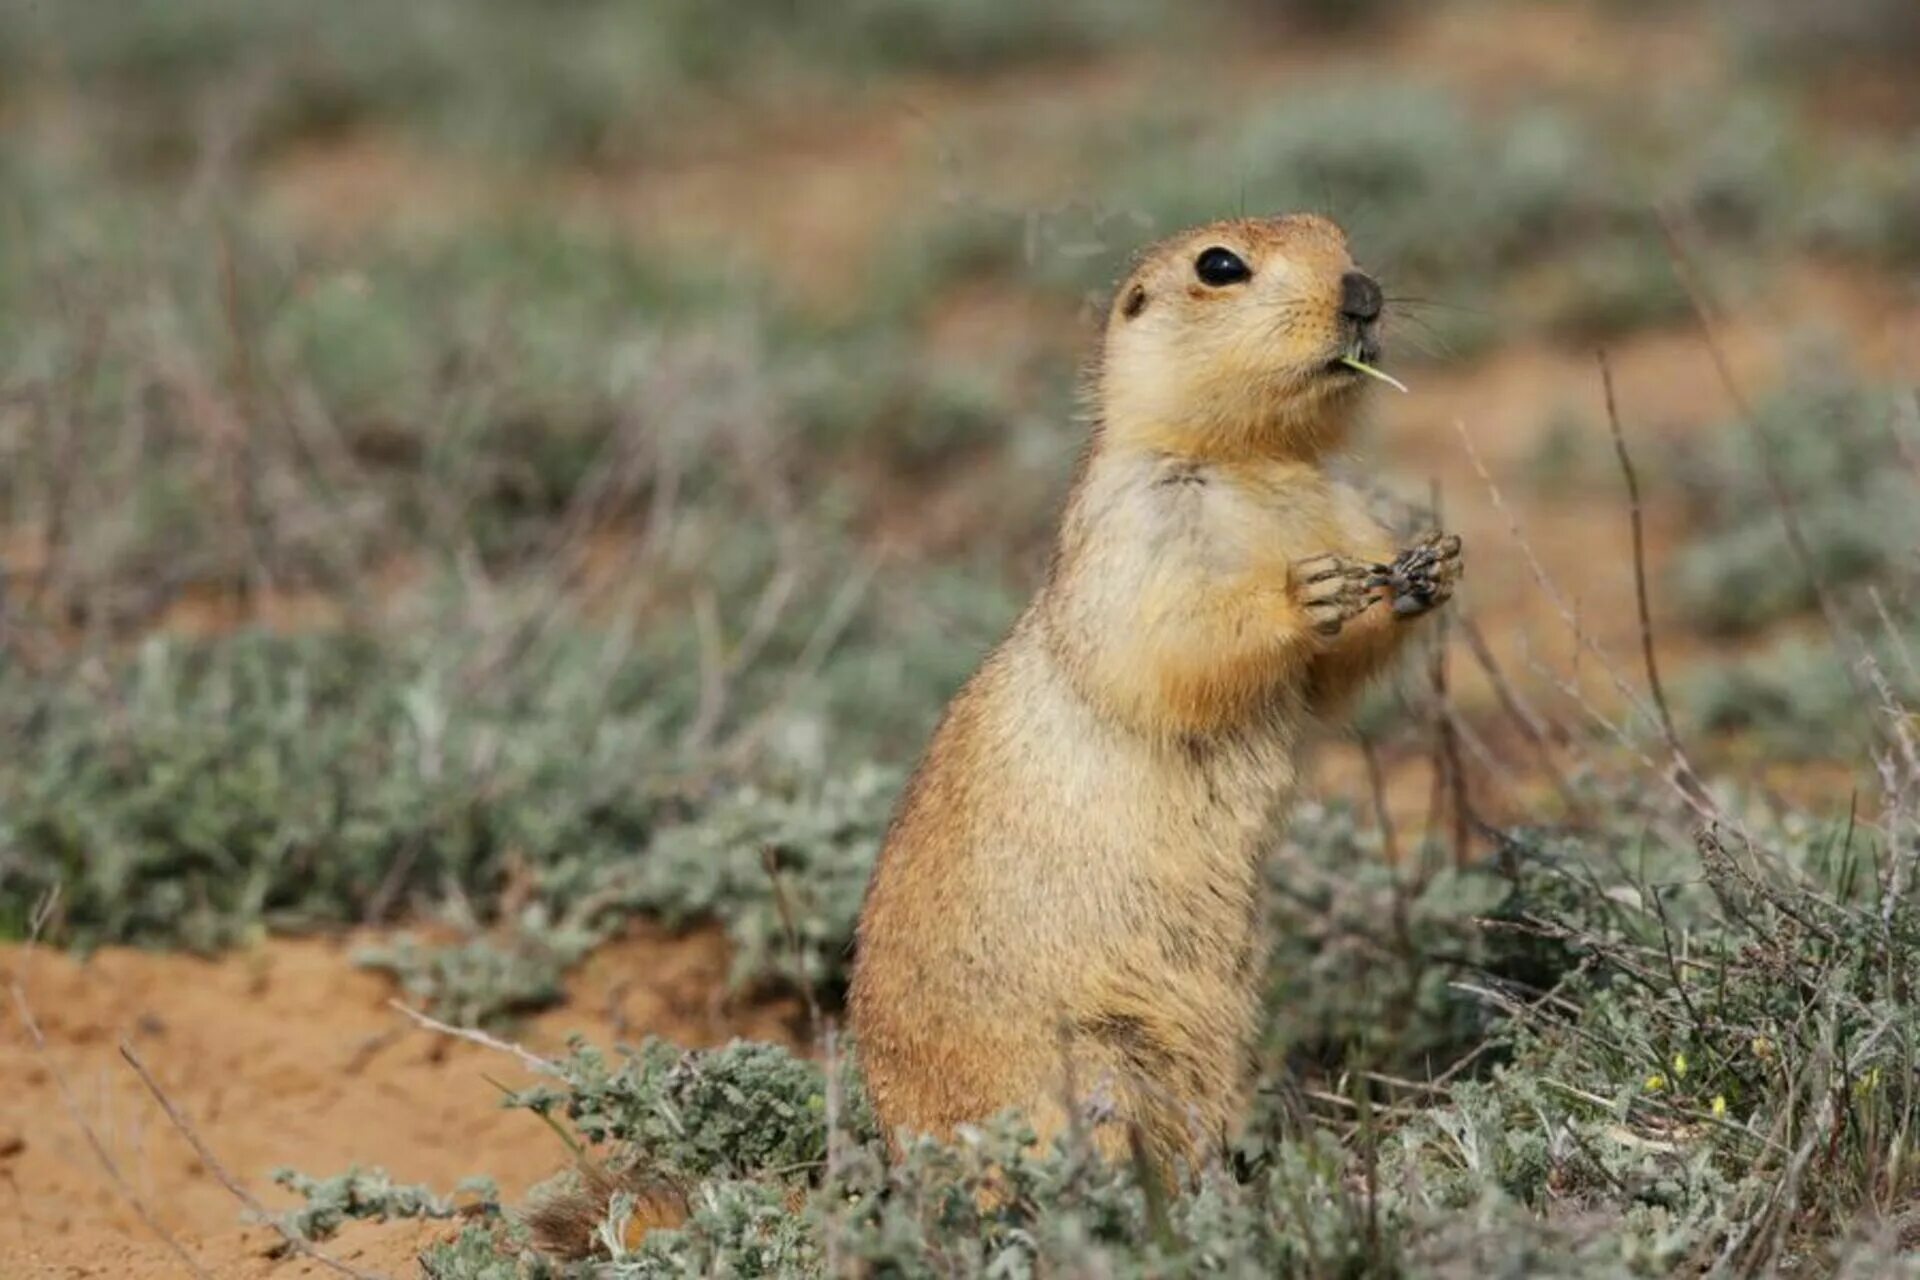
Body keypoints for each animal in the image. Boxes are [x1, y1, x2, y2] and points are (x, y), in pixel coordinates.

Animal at [848, 213, 1459, 1174]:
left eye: (1339, 237)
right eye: (1220, 265)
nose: (1364, 291)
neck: (1256, 463)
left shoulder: (1343, 508)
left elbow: (1327, 682)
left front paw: (1427, 568)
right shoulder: (1137, 525)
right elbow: (1160, 642)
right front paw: (1306, 593)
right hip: (1083, 1063)